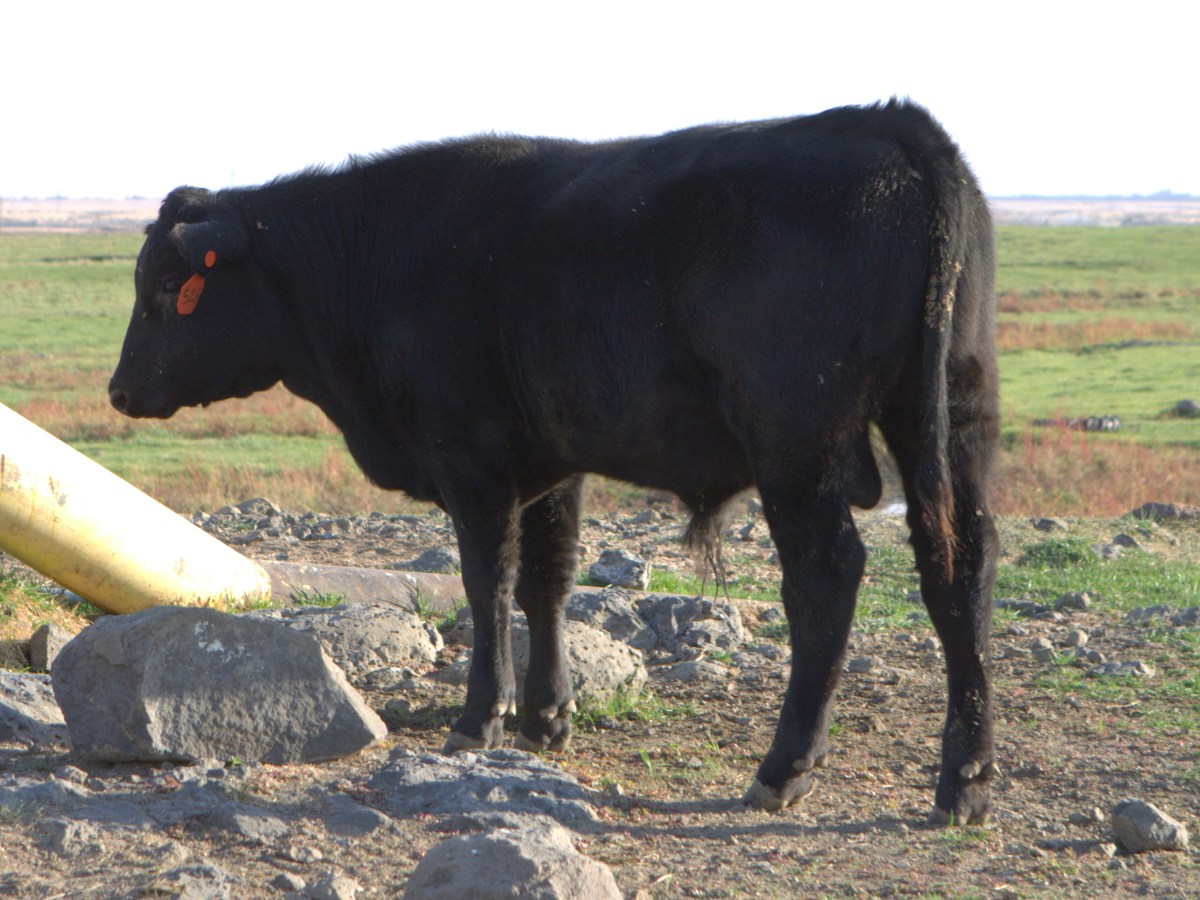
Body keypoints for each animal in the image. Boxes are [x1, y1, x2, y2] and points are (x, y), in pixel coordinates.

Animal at [109, 99, 999, 825]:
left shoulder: (470, 458)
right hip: (953, 420)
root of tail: (891, 123)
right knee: (959, 573)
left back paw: (784, 769)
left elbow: (489, 583)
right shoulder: (552, 462)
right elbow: (548, 581)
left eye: (164, 287)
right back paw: (965, 779)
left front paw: (481, 718)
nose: (119, 389)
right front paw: (546, 716)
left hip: (796, 445)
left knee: (827, 580)